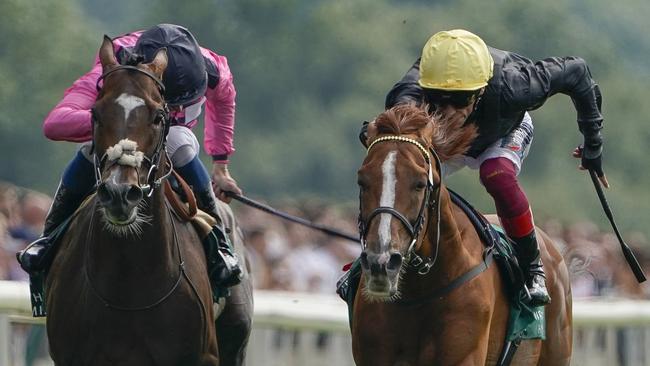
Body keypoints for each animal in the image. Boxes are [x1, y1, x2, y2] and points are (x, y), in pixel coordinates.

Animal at [45, 37, 252, 366]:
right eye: (95, 114)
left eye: (158, 116)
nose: (120, 192)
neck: (130, 286)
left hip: (236, 334)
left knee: (182, 144)